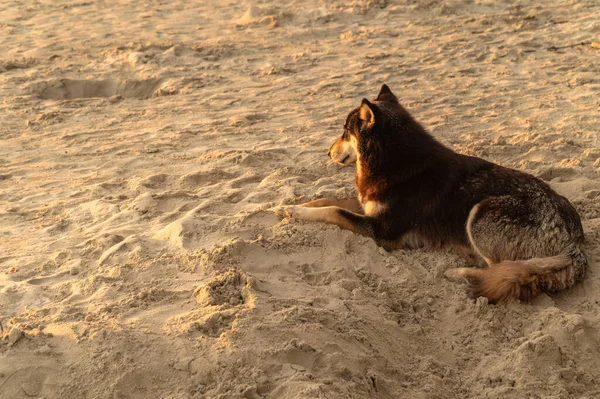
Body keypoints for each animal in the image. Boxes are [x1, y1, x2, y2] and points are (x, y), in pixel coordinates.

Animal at [276, 84, 584, 304]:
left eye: (344, 132)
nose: (327, 152)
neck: (394, 161)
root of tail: (576, 246)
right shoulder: (368, 206)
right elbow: (329, 200)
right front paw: (287, 206)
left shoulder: (382, 232)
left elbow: (334, 211)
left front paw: (295, 211)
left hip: (480, 214)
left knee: (503, 270)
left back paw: (457, 272)